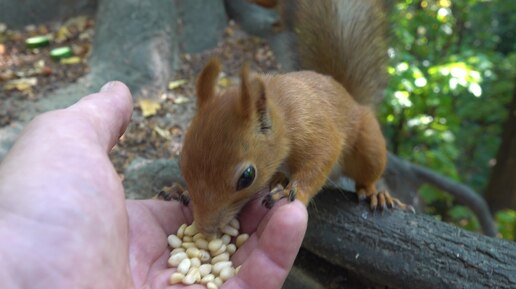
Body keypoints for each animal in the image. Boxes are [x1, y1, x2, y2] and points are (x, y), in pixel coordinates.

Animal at [177, 0, 408, 234]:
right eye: (182, 162)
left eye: (247, 177)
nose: (205, 228)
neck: (284, 114)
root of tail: (349, 96)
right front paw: (182, 192)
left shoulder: (314, 128)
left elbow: (321, 158)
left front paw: (293, 191)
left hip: (368, 145)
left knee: (367, 174)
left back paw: (375, 193)